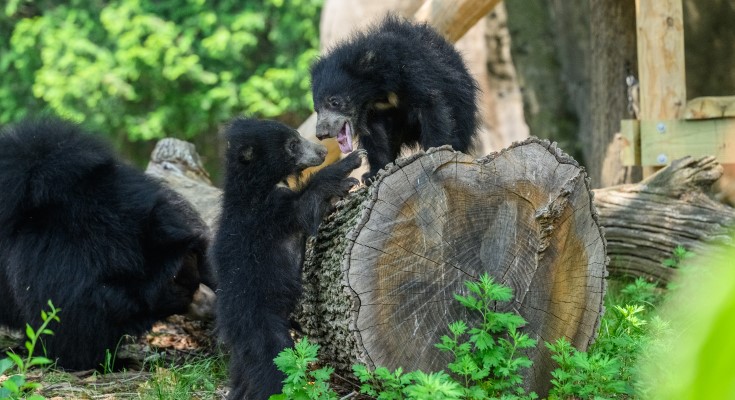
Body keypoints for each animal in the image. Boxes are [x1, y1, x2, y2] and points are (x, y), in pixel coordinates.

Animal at [209, 117, 364, 400]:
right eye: (293, 144)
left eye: (296, 136)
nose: (322, 151)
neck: (256, 185)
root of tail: (231, 330)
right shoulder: (269, 213)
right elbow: (306, 206)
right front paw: (351, 164)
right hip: (264, 328)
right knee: (273, 367)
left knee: (244, 376)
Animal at [311, 14, 479, 181]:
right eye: (316, 109)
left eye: (335, 102)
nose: (321, 134)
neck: (376, 93)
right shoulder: (371, 111)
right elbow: (374, 135)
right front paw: (373, 174)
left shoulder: (411, 70)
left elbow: (429, 104)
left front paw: (435, 149)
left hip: (462, 101)